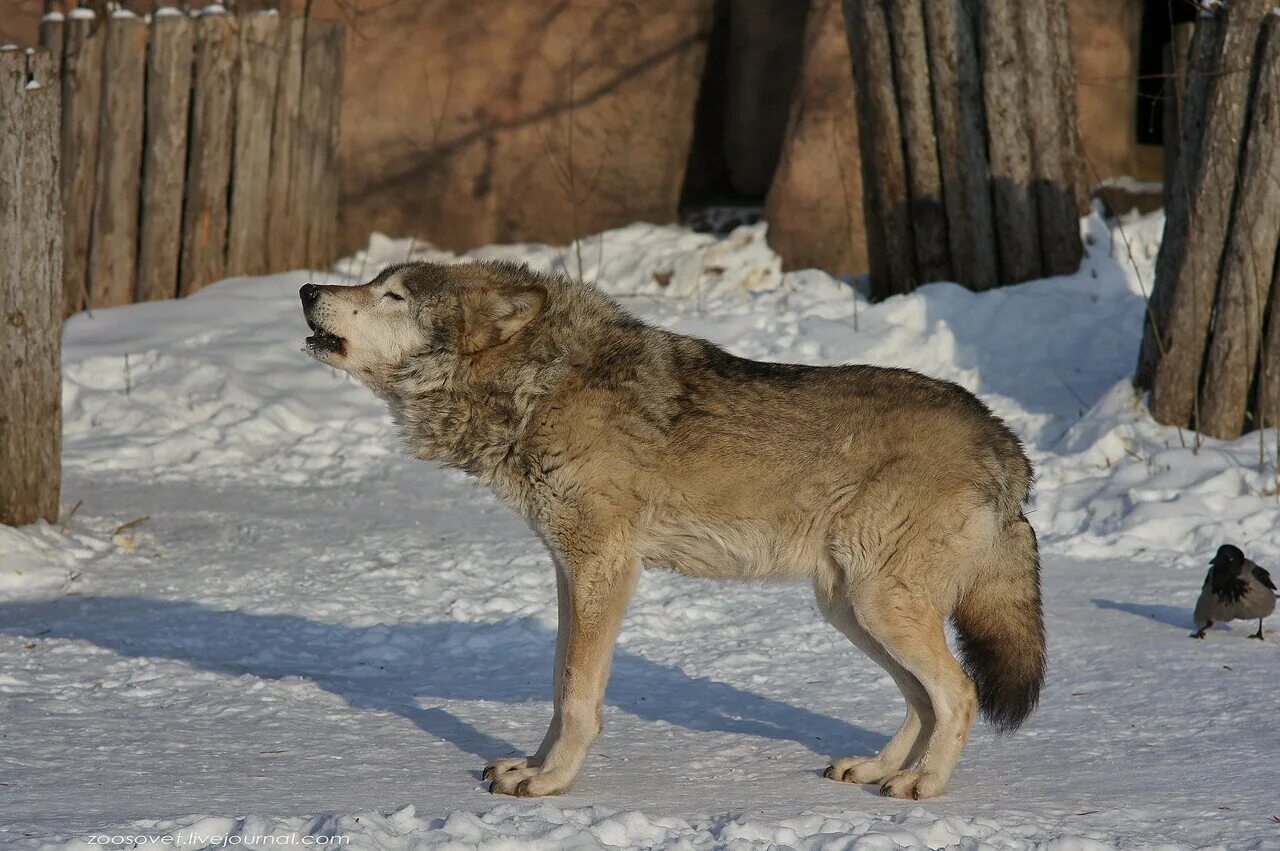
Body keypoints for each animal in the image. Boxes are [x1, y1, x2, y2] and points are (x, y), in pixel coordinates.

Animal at [302, 258, 1049, 798]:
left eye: (393, 294)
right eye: (373, 282)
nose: (307, 288)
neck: (540, 386)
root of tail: (1004, 440)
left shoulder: (605, 567)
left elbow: (577, 693)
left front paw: (552, 781)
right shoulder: (569, 572)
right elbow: (559, 684)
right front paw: (532, 767)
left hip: (879, 605)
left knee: (960, 693)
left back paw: (924, 783)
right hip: (849, 607)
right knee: (923, 699)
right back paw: (877, 769)